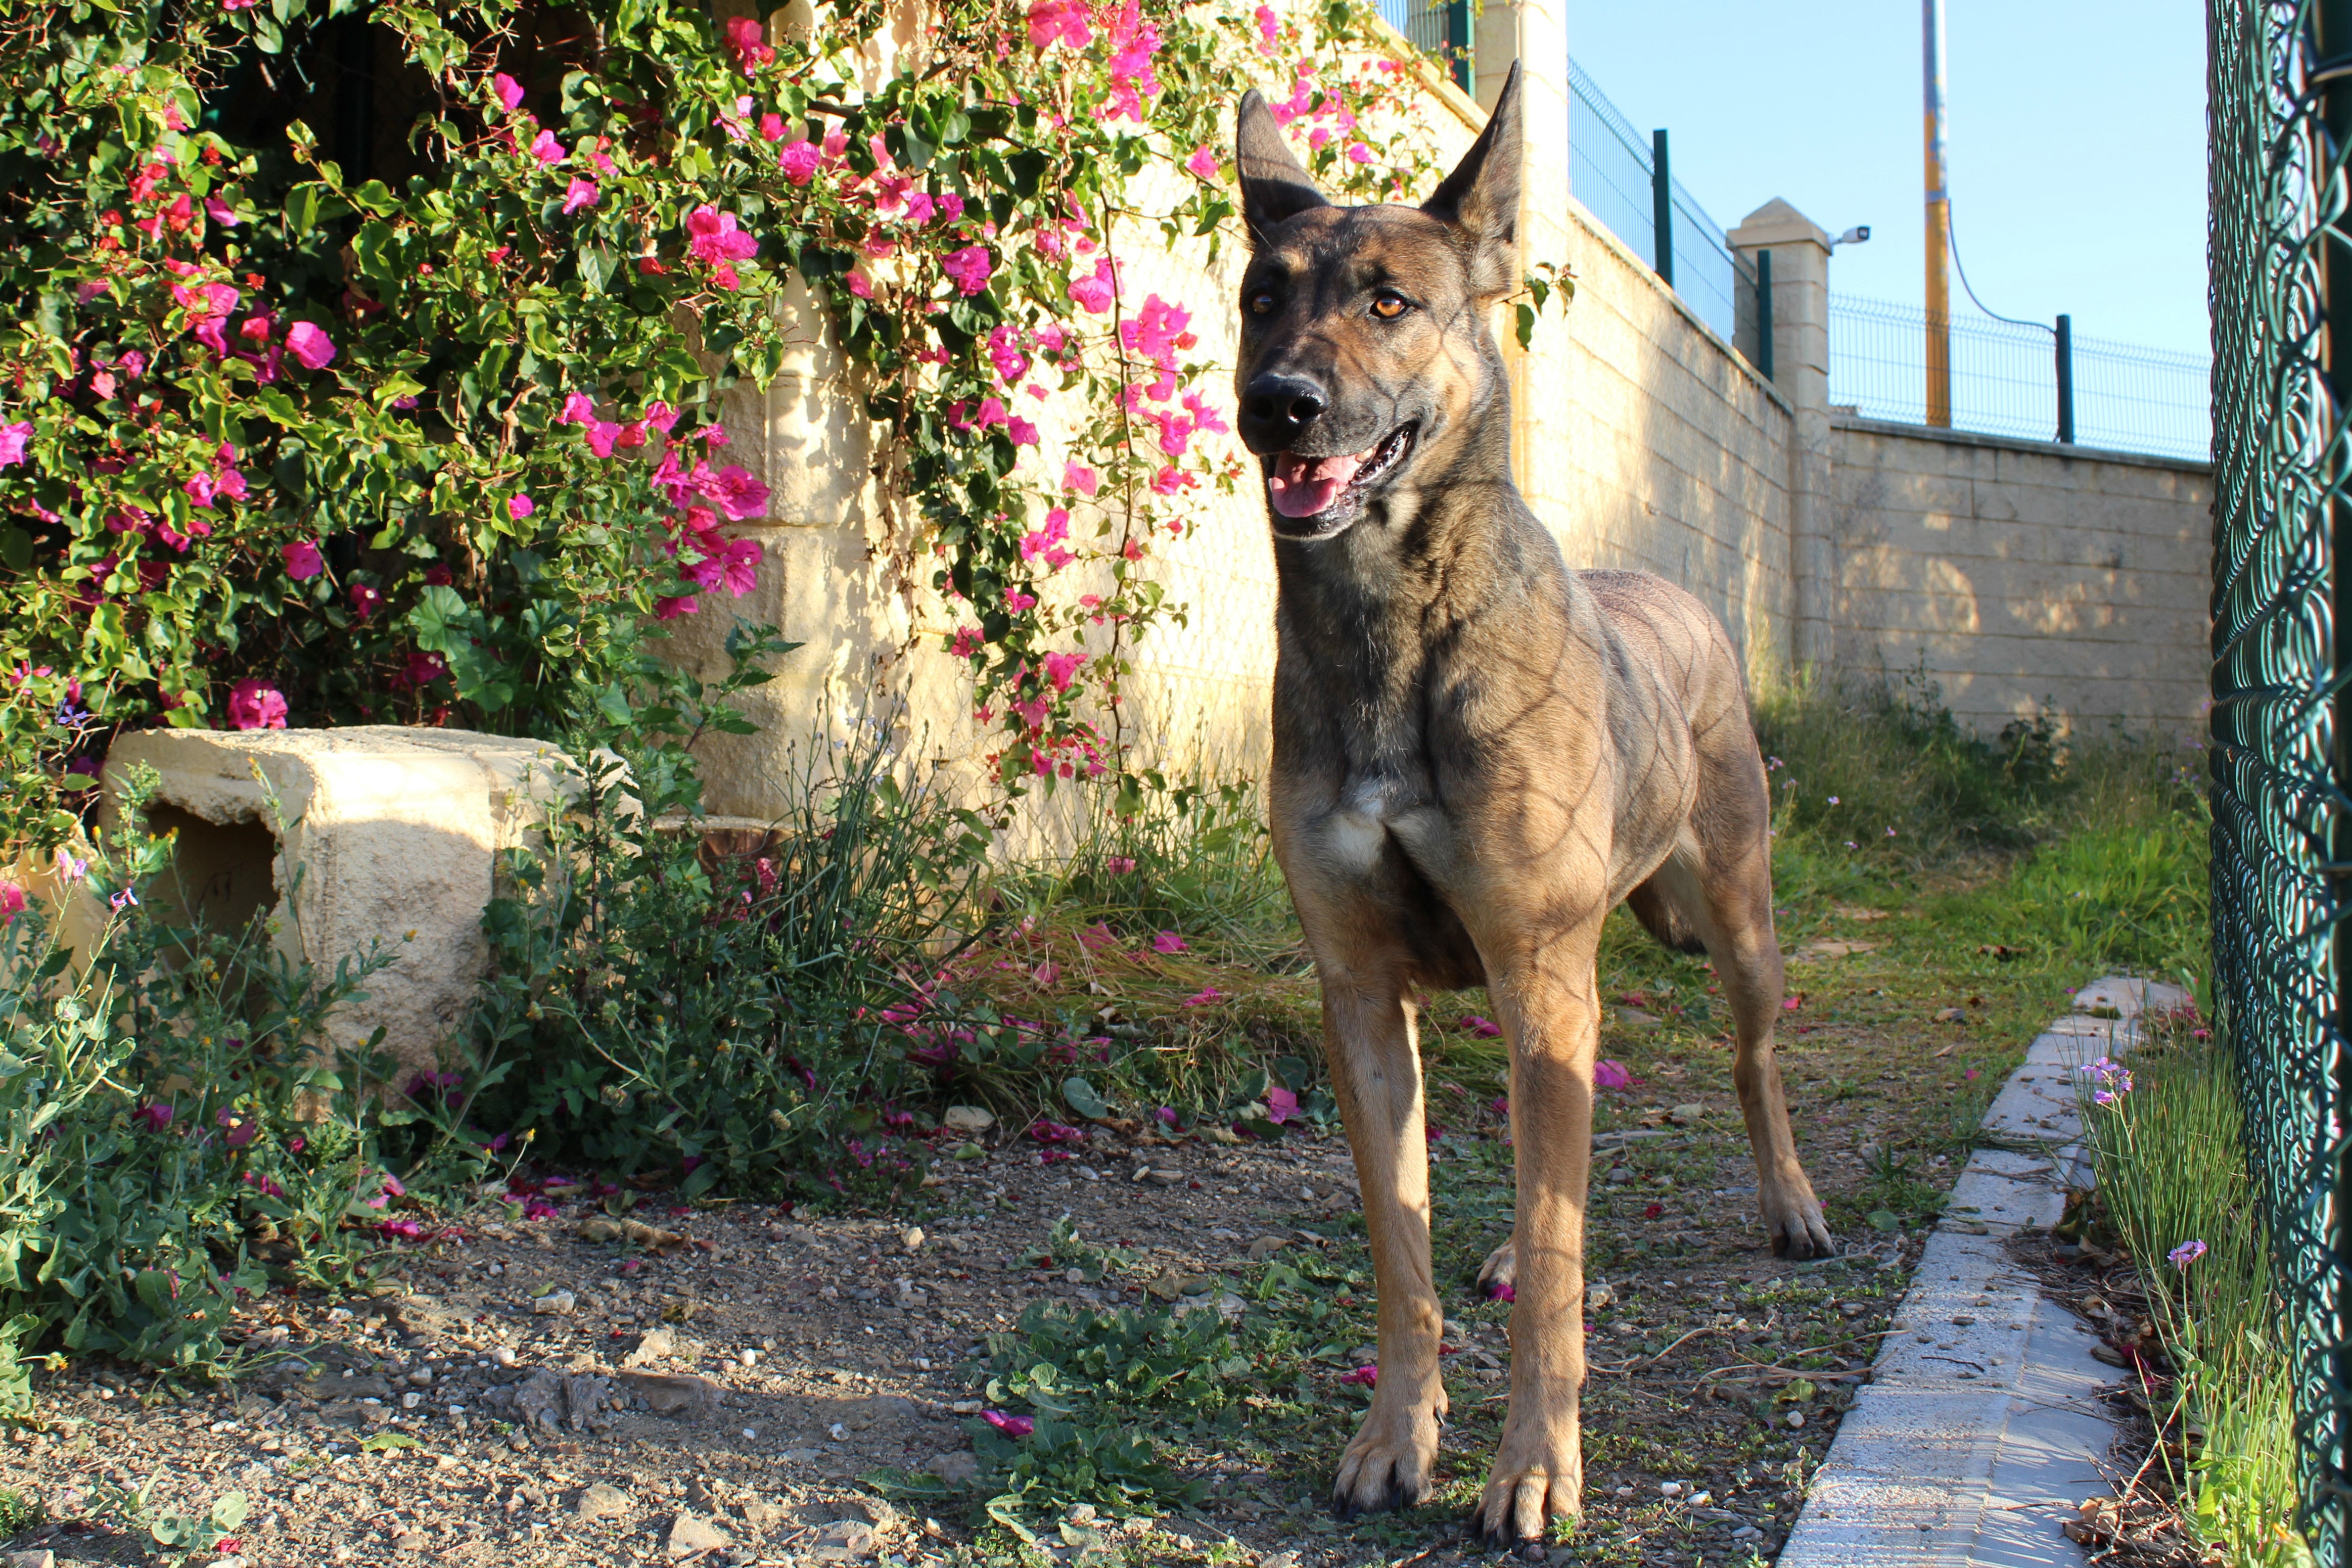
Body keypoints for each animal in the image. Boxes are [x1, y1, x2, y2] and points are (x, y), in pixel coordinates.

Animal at [1241, 58, 1825, 1542]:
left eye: (1389, 301)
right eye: (1259, 293)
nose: (1278, 402)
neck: (1388, 627)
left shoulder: (1541, 964)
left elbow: (1561, 1266)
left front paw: (1533, 1465)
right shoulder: (1359, 994)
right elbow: (1401, 1250)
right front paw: (1396, 1435)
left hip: (1729, 925)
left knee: (1746, 1064)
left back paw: (1790, 1203)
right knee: (1542, 1144)